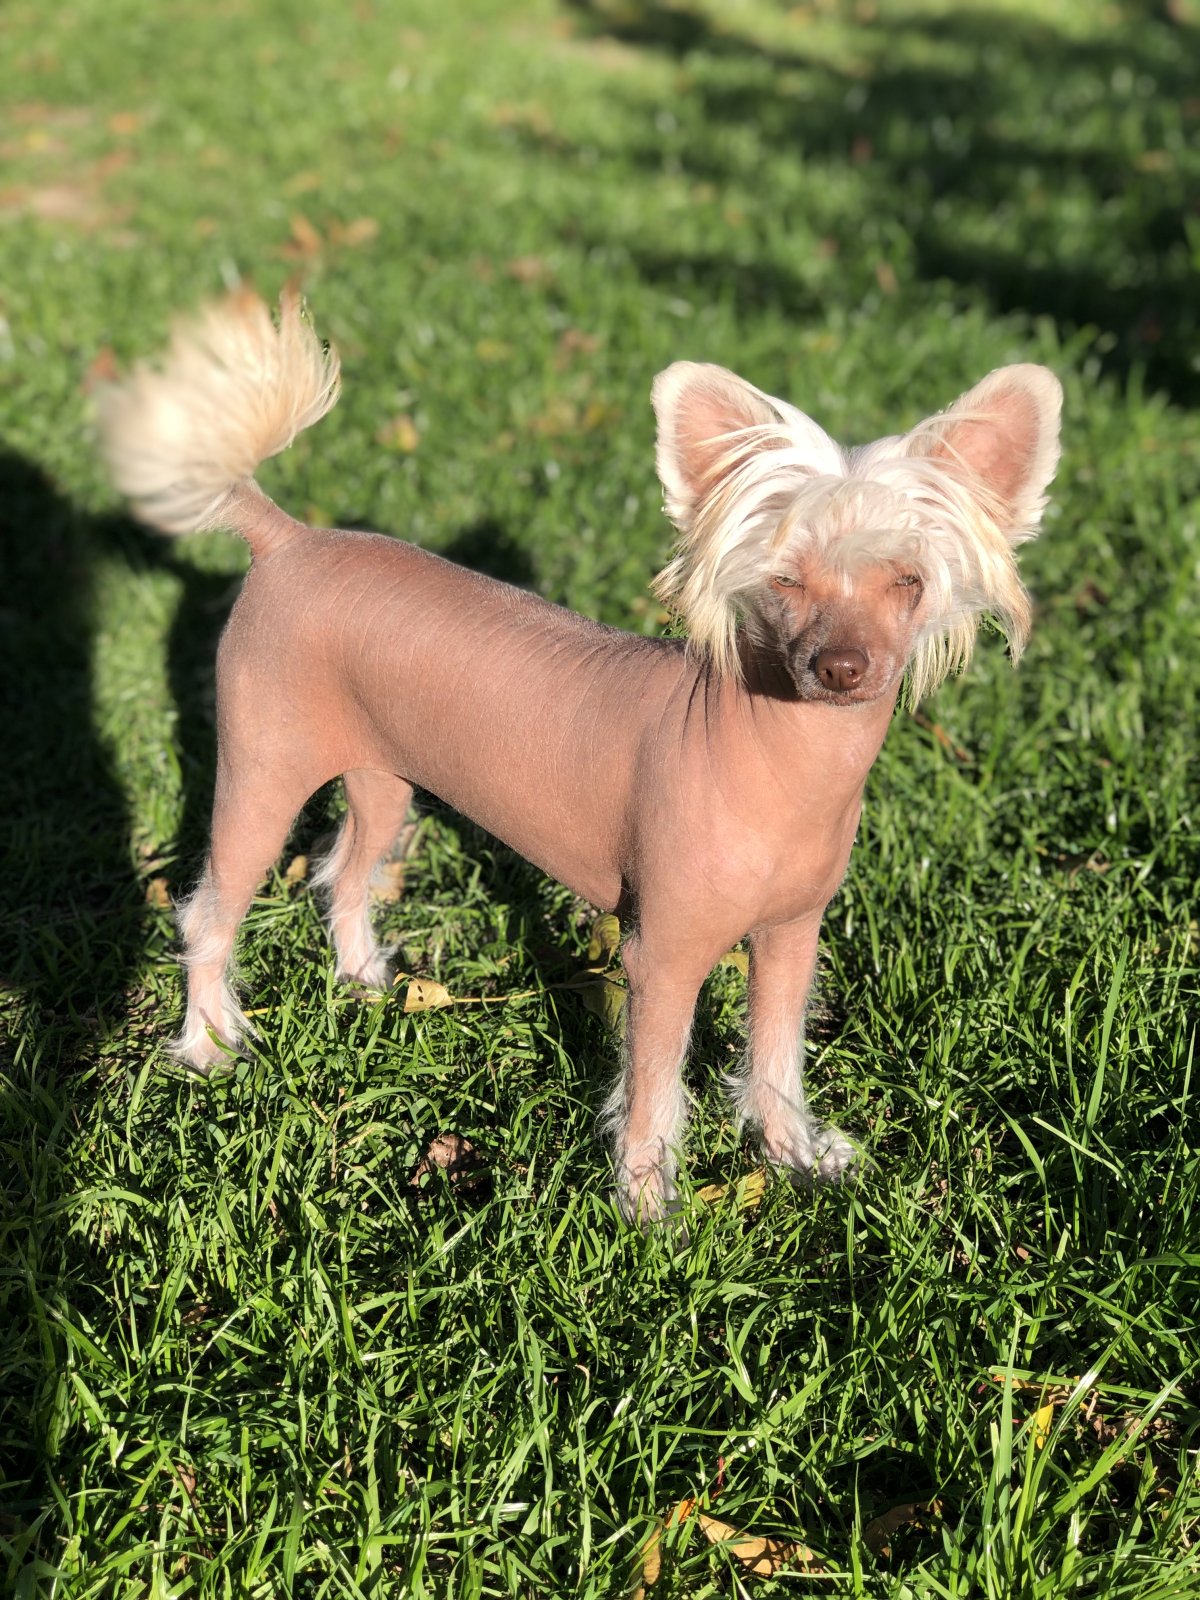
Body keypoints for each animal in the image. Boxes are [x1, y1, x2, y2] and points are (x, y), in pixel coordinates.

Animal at [99, 289, 1062, 1219]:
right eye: (785, 581)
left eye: (907, 581)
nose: (843, 668)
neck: (779, 759)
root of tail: (288, 536)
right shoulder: (660, 958)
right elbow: (653, 1086)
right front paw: (646, 1202)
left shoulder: (791, 937)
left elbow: (777, 1056)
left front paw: (793, 1154)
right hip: (261, 778)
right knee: (209, 912)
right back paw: (208, 1042)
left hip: (384, 780)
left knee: (343, 871)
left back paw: (363, 978)